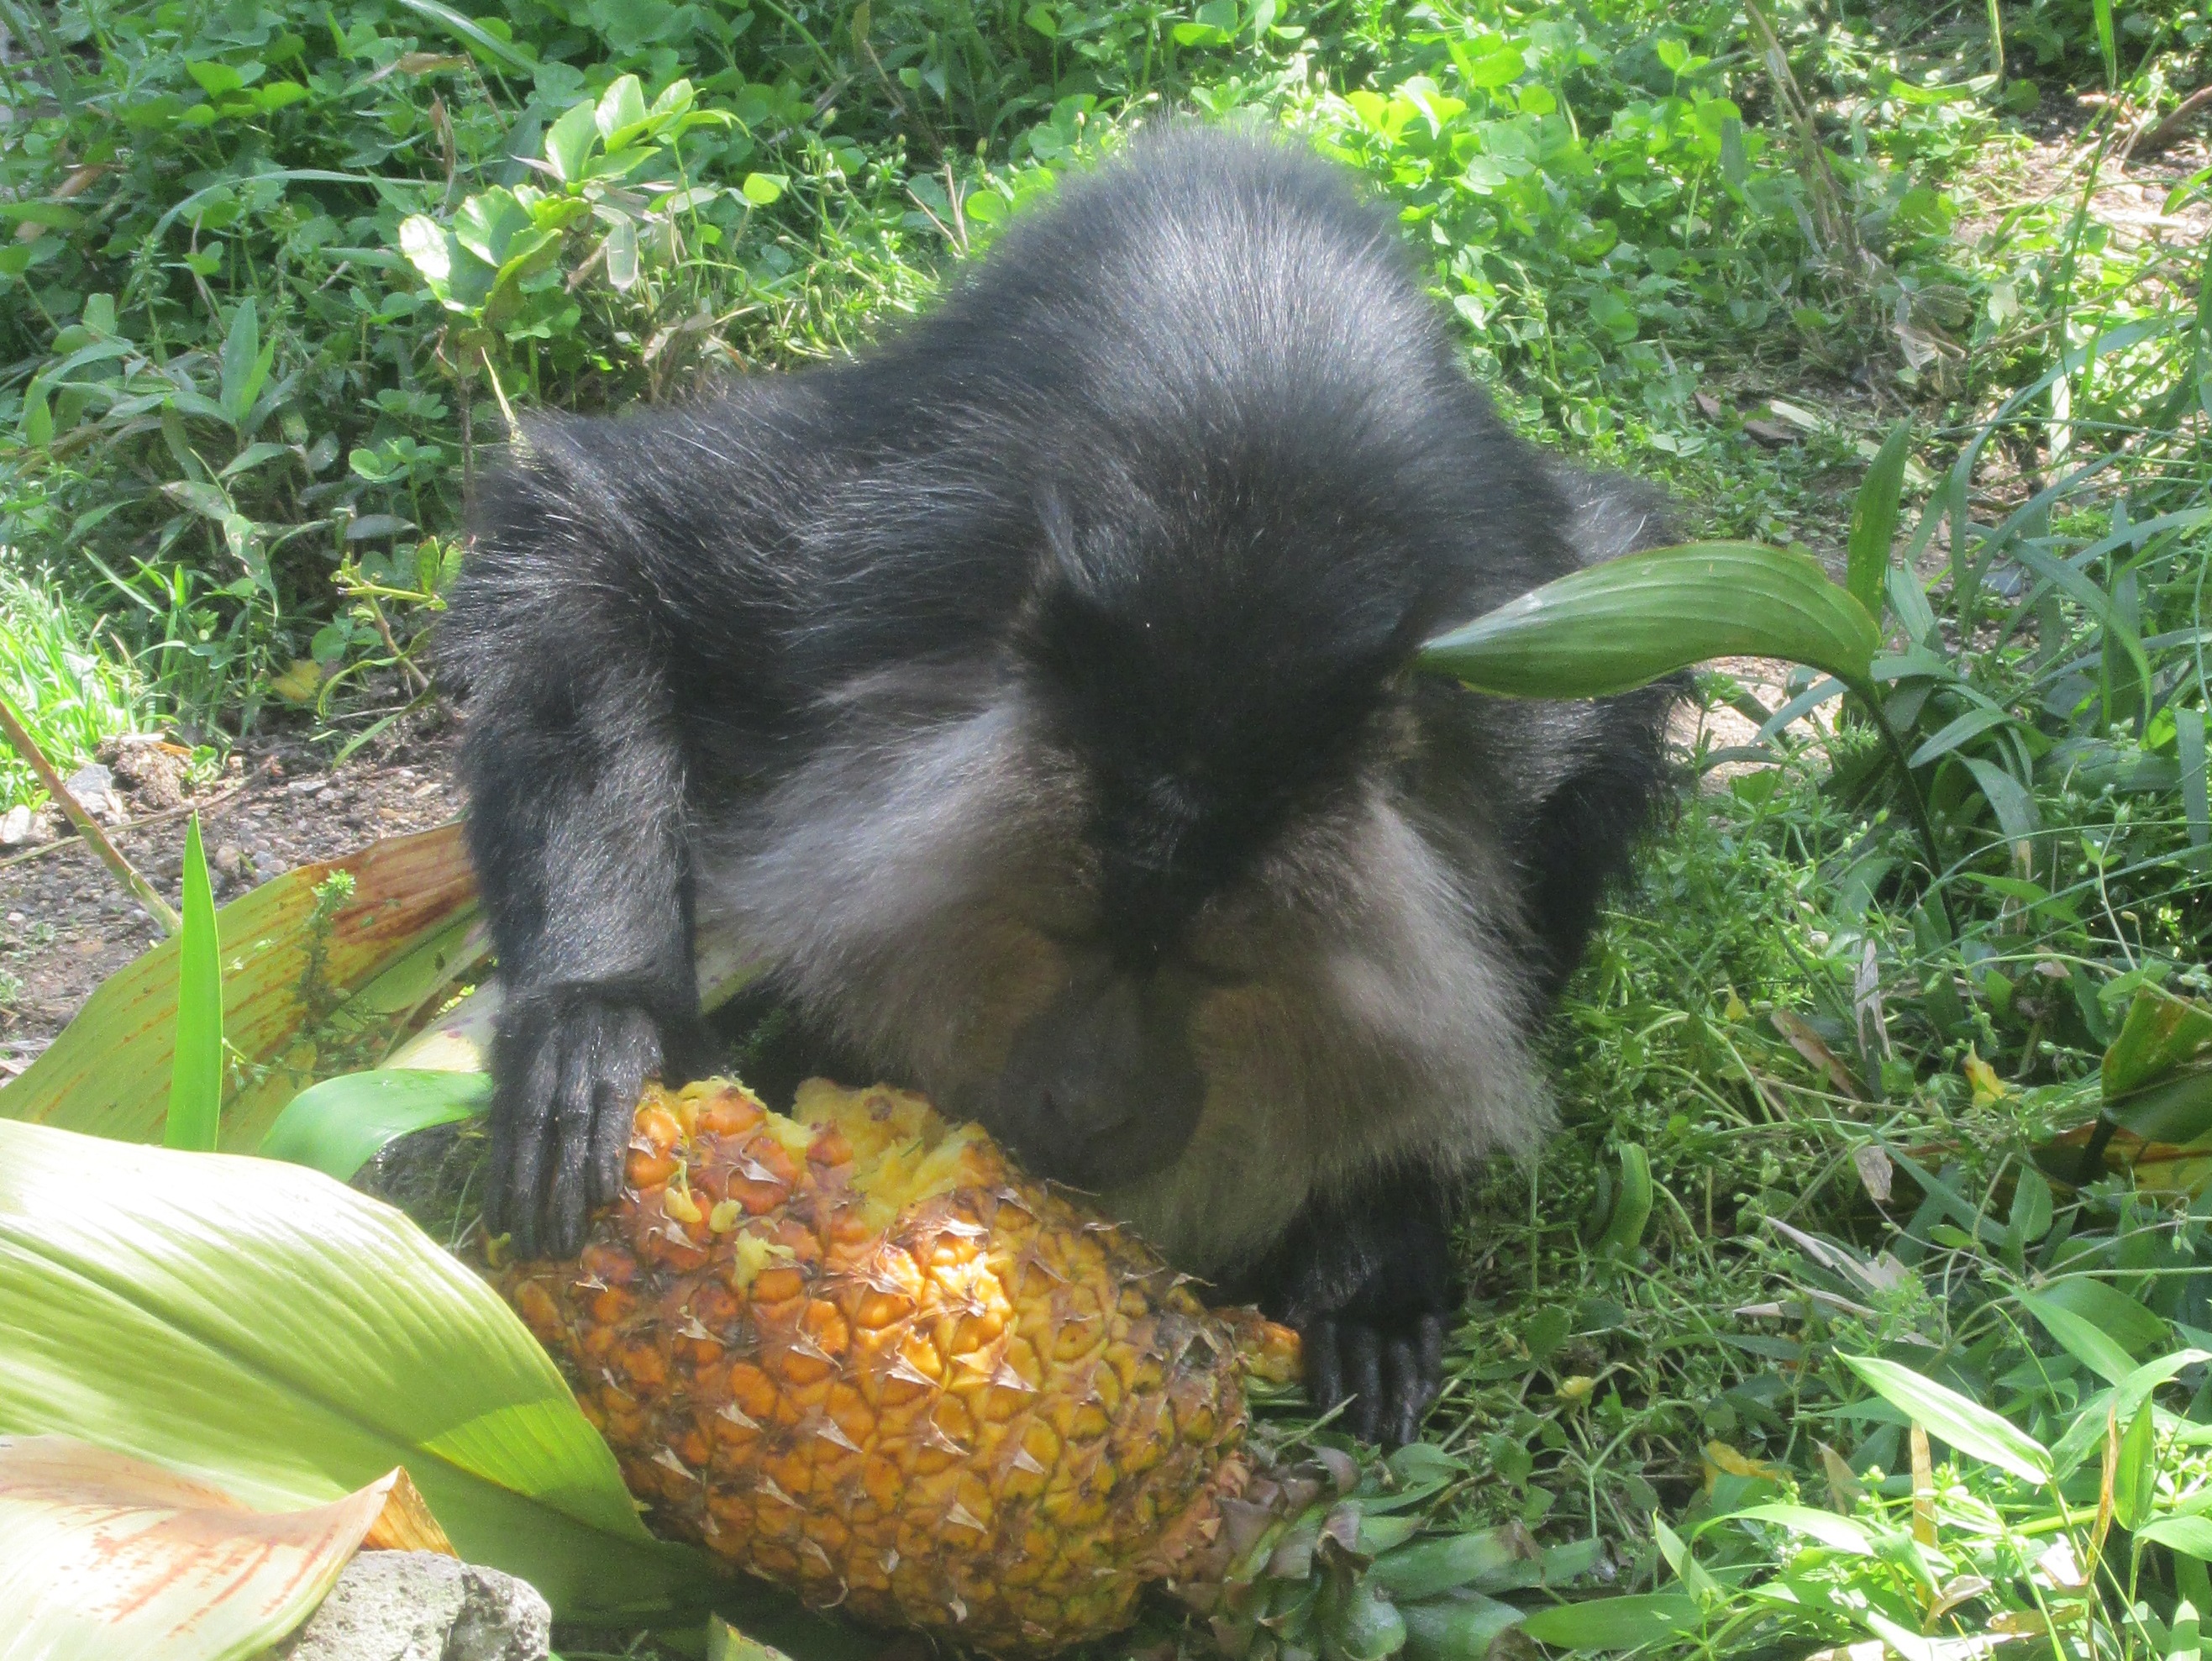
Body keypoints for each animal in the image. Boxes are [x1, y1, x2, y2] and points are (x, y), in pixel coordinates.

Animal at [439, 123, 1672, 1450]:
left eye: (1217, 969)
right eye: (1058, 926)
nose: (1088, 1106)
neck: (1234, 544)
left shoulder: (1528, 687)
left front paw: (1371, 1231)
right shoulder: (823, 571)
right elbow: (592, 532)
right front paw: (597, 1014)